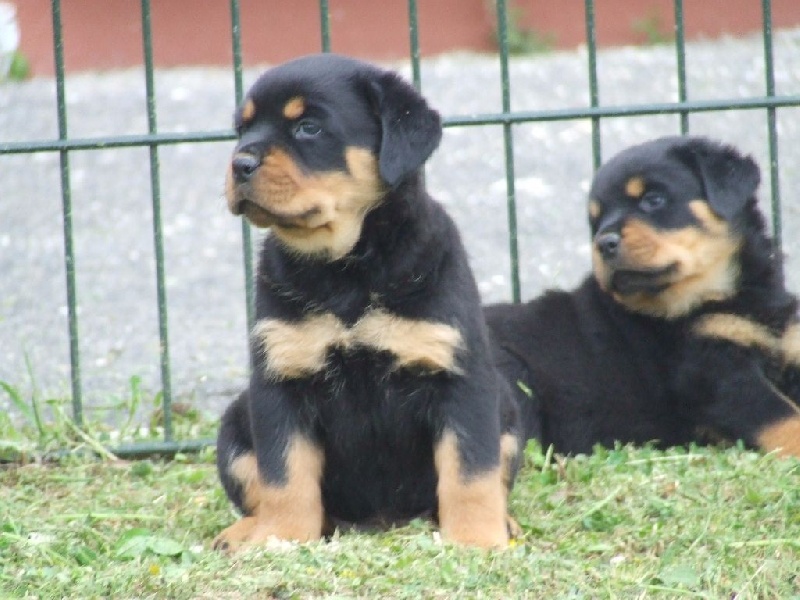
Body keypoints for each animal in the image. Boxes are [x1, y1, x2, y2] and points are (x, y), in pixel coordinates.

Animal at [212, 54, 520, 552]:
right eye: (242, 129)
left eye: (309, 128)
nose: (240, 162)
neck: (347, 269)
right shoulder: (281, 380)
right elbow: (284, 474)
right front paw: (282, 539)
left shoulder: (459, 377)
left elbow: (471, 470)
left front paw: (476, 540)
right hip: (237, 420)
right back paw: (246, 532)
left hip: (506, 408)